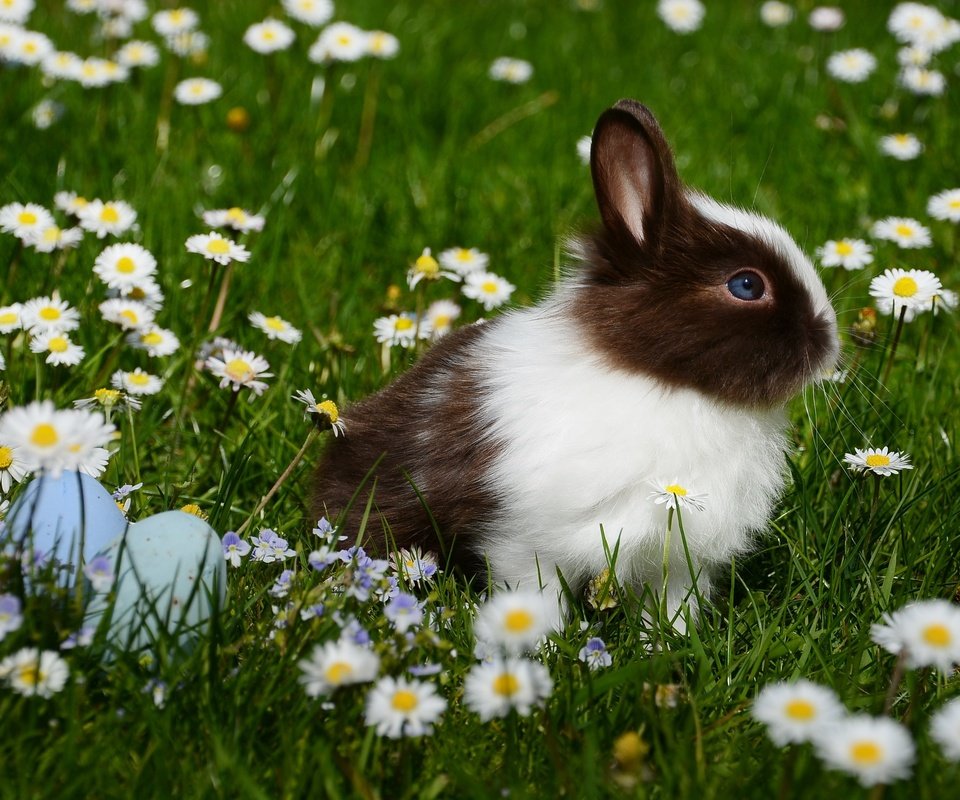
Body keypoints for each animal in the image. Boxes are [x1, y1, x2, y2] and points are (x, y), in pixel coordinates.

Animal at [312, 100, 836, 628]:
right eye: (747, 285)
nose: (830, 344)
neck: (663, 383)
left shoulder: (678, 557)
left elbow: (670, 605)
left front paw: (669, 639)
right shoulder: (525, 541)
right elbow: (533, 596)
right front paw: (540, 639)